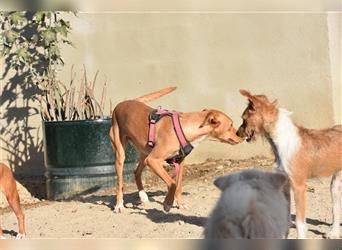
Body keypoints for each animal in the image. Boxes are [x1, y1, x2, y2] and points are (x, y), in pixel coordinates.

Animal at [111, 87, 242, 212]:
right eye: (230, 125)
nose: (242, 136)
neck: (185, 127)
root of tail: (124, 102)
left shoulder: (179, 161)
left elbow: (178, 185)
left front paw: (181, 204)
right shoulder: (153, 160)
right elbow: (172, 183)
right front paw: (168, 203)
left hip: (145, 154)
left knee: (136, 172)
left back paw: (143, 196)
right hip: (122, 154)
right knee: (119, 183)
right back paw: (119, 205)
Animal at [238, 90, 342, 238]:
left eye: (244, 118)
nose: (237, 133)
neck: (282, 140)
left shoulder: (299, 187)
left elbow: (300, 223)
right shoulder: (285, 186)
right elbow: (285, 219)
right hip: (335, 184)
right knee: (336, 208)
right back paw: (334, 232)